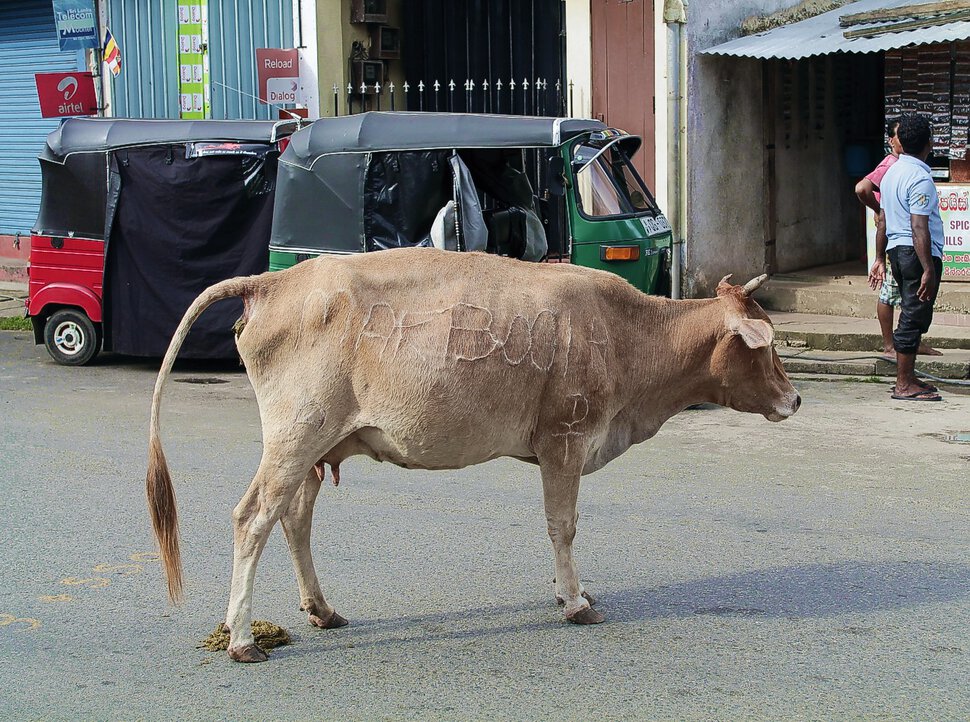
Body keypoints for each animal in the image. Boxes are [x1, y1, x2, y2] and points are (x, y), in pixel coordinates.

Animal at [144, 246, 796, 660]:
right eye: (766, 349)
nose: (793, 399)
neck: (627, 335)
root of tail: (272, 281)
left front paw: (571, 593)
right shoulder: (564, 440)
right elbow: (563, 526)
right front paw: (575, 602)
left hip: (313, 446)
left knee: (294, 520)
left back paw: (320, 610)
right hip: (295, 434)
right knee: (253, 518)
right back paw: (241, 638)